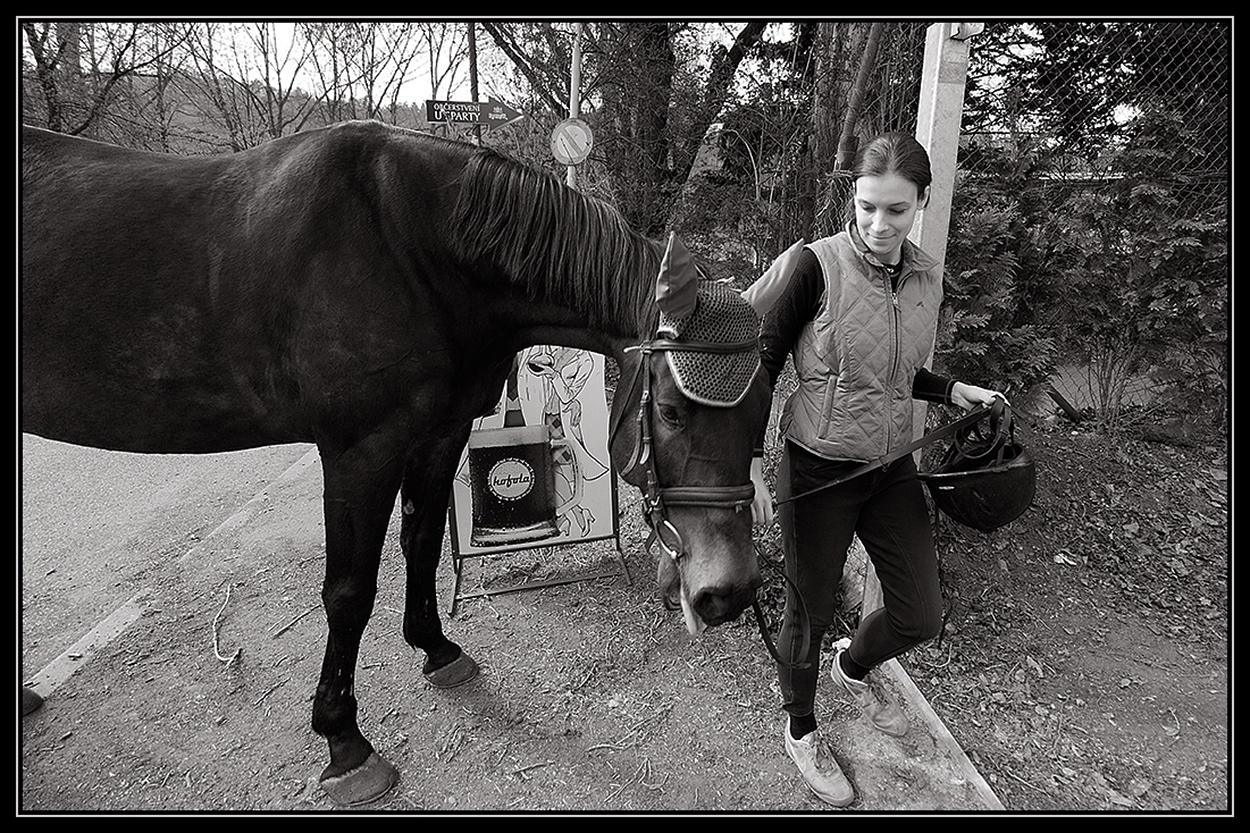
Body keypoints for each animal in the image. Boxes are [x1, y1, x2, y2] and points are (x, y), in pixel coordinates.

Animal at [20, 120, 772, 806]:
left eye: (763, 406)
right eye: (670, 410)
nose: (729, 591)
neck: (412, 246)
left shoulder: (438, 435)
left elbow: (421, 543)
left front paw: (436, 647)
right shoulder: (360, 452)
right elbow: (349, 591)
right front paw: (343, 739)